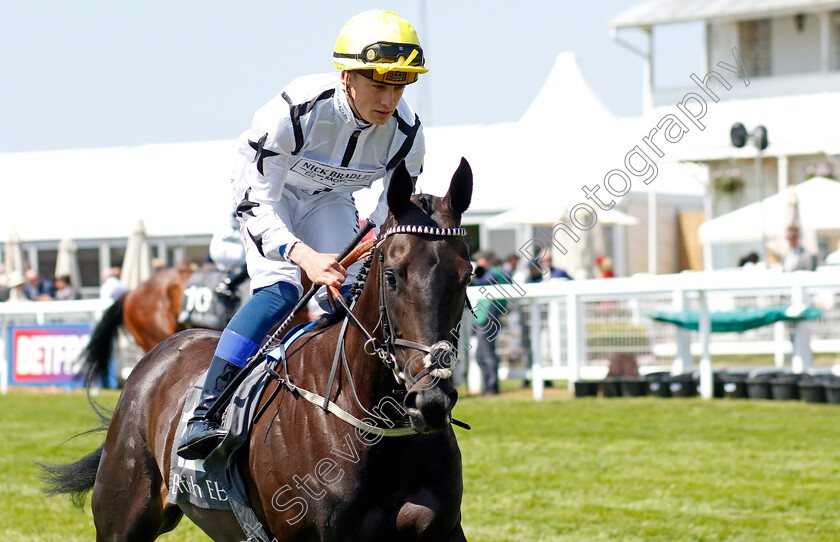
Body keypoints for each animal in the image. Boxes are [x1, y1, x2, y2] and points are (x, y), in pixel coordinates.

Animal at [46, 162, 476, 542]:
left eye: (466, 275)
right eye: (392, 276)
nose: (430, 401)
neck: (377, 430)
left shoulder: (444, 530)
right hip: (121, 517)